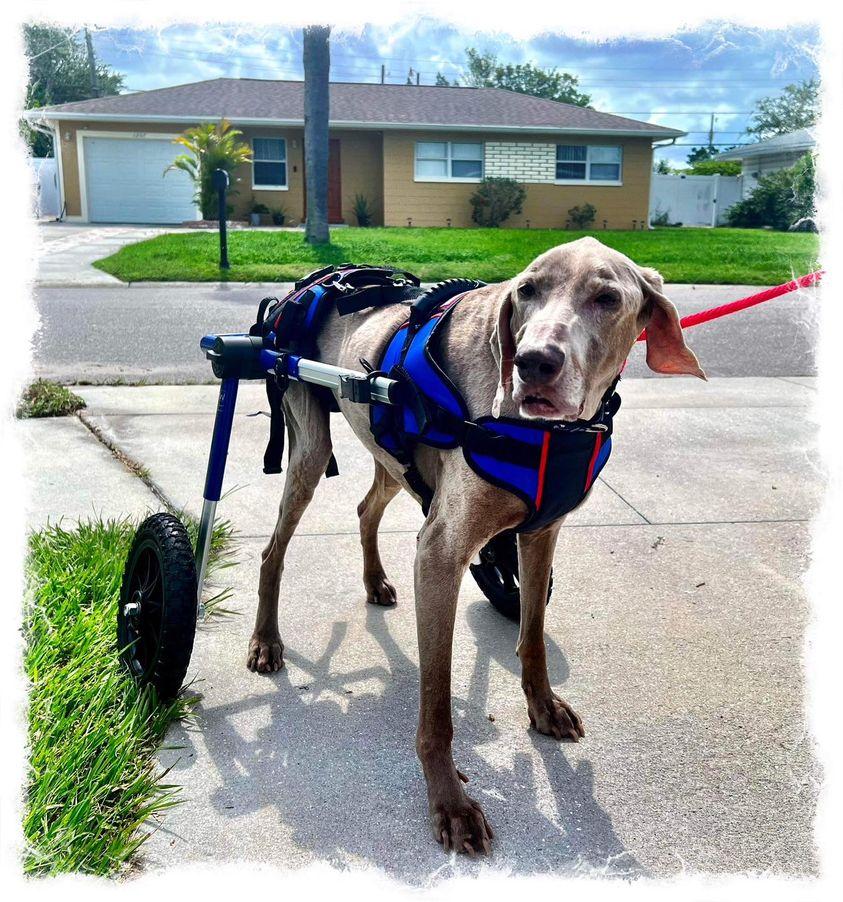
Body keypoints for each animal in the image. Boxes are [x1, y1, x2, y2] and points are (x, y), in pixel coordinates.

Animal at [246, 236, 705, 855]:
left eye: (608, 298)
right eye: (526, 290)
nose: (534, 363)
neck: (551, 432)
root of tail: (309, 282)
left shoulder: (539, 532)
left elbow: (532, 636)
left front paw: (542, 707)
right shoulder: (440, 553)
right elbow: (437, 707)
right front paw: (451, 805)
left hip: (389, 455)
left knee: (366, 507)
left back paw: (374, 581)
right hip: (310, 446)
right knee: (273, 551)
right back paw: (265, 641)